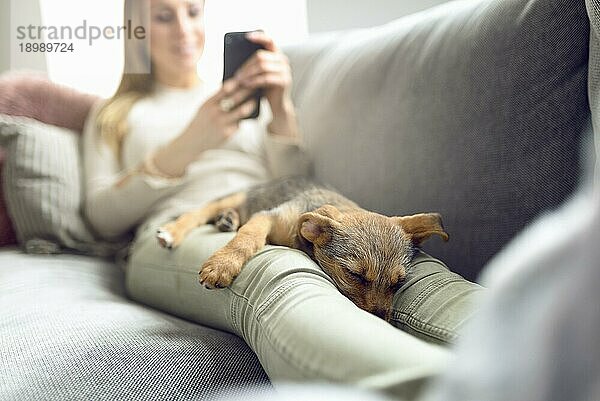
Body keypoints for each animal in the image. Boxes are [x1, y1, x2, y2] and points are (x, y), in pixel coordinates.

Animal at [157, 177, 448, 320]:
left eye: (398, 283)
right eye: (353, 275)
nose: (379, 320)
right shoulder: (268, 216)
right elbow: (247, 237)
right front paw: (222, 265)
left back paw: (227, 219)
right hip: (236, 197)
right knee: (198, 212)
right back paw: (174, 231)